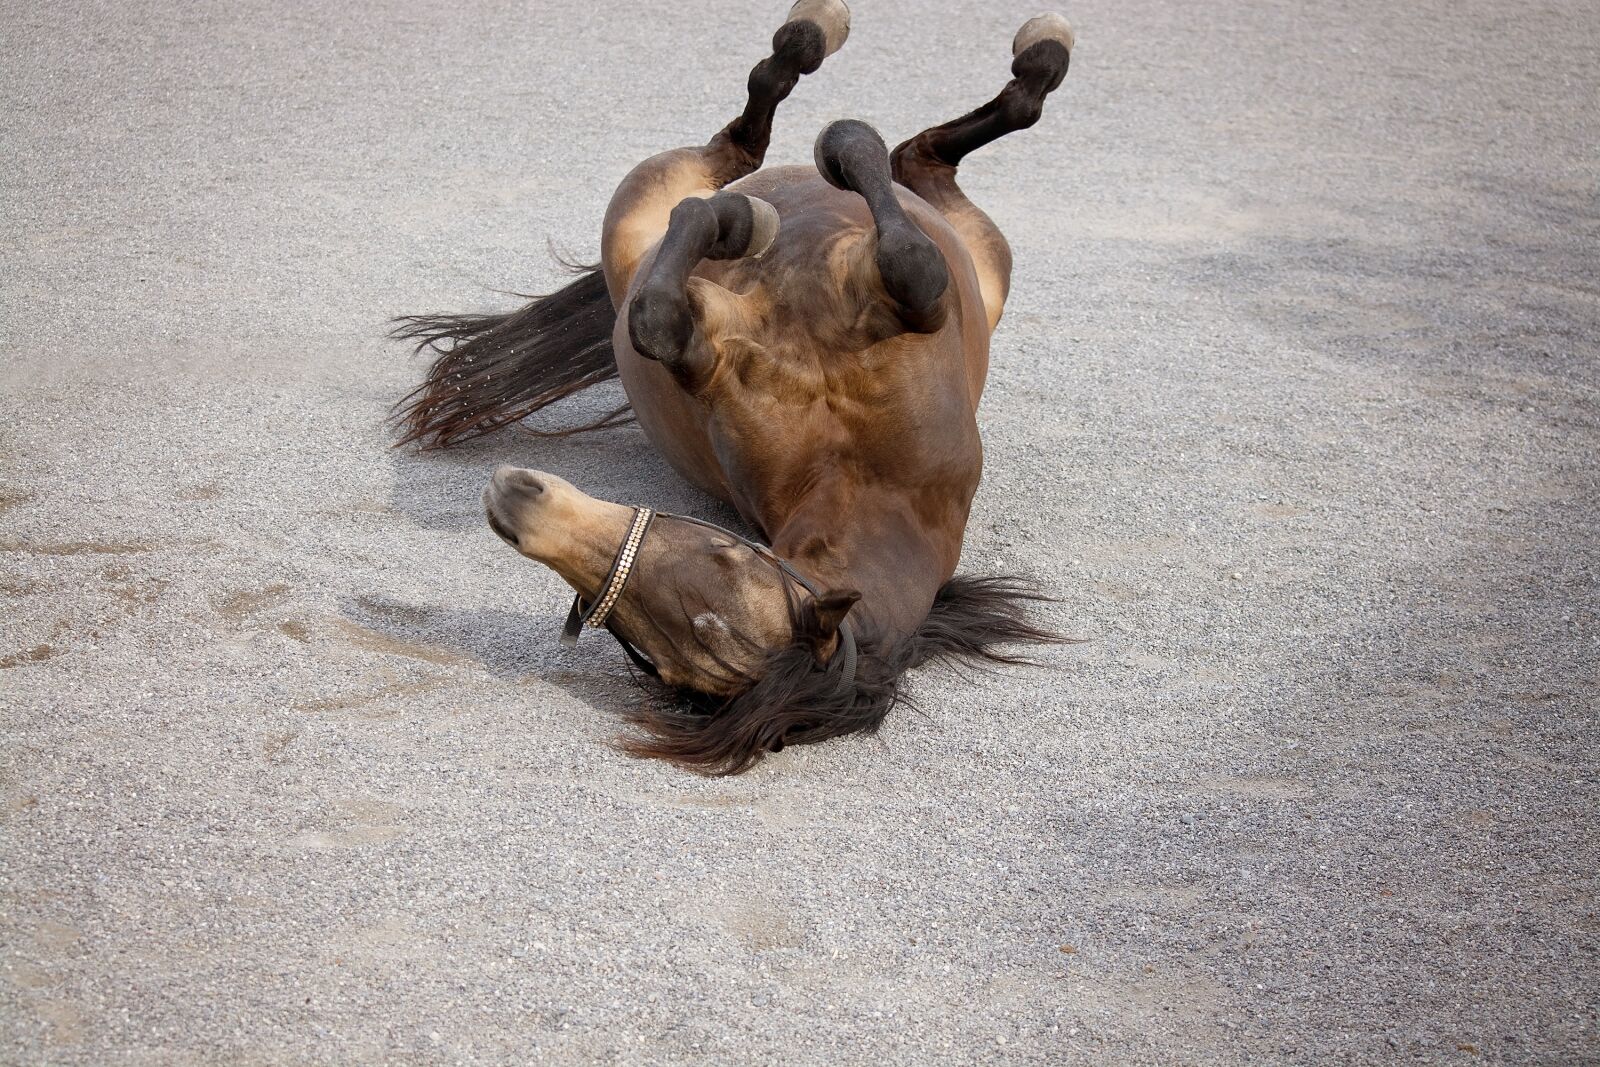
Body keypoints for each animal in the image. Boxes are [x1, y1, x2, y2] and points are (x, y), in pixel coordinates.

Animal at [392, 1, 1075, 774]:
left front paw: (772, 194)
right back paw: (842, 39)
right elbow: (892, 254)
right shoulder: (747, 328)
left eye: (726, 557)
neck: (863, 468)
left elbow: (896, 257)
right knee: (820, 141)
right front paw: (757, 207)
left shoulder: (733, 338)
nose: (517, 501)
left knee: (866, 155)